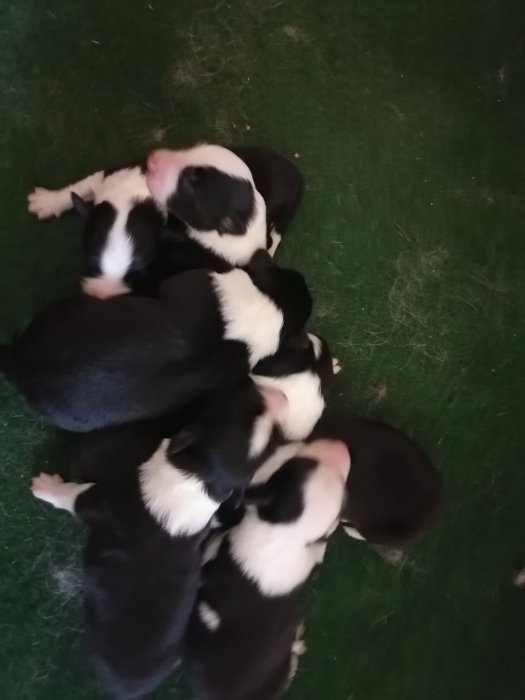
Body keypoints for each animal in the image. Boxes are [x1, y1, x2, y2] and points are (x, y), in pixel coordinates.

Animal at [31, 380, 286, 700]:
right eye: (249, 407)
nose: (281, 396)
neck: (199, 480)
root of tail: (131, 686)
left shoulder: (102, 501)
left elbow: (71, 496)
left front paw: (45, 487)